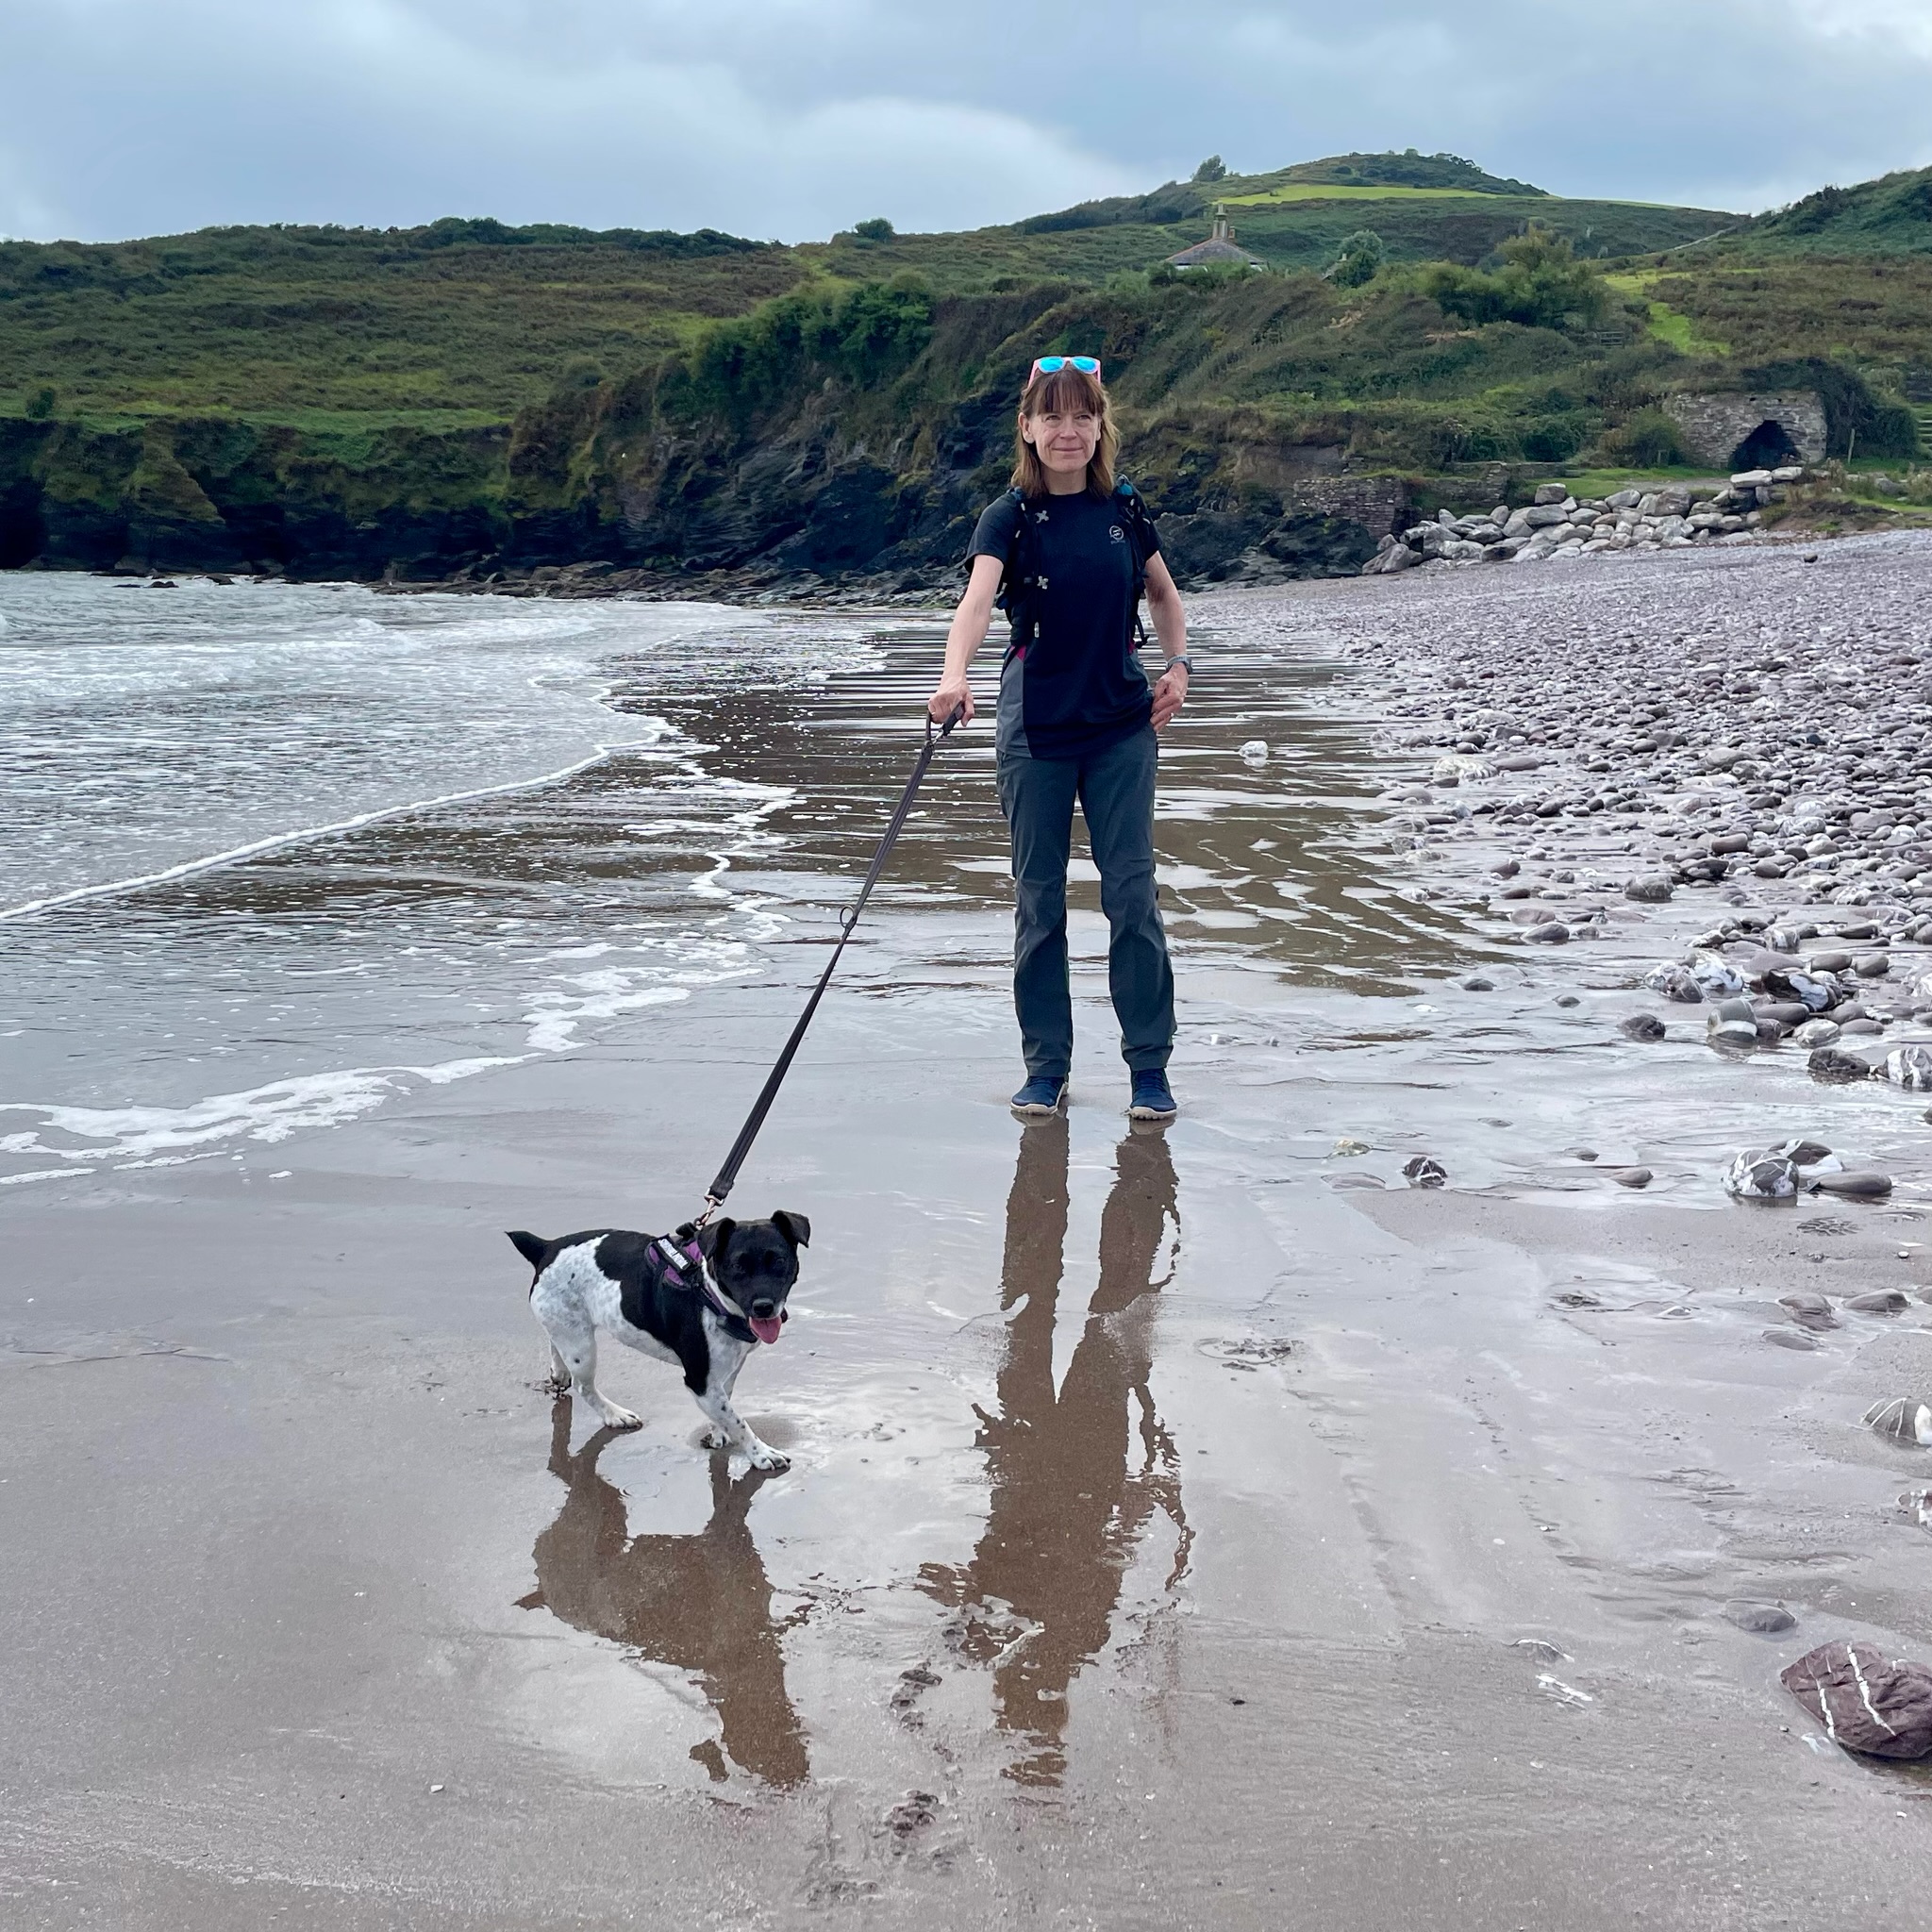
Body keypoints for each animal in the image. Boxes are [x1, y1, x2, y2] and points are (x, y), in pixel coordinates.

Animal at [506, 1213, 808, 1468]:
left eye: (779, 1261)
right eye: (737, 1265)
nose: (764, 1307)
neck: (710, 1293)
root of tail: (546, 1248)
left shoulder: (726, 1372)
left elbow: (726, 1407)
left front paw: (718, 1433)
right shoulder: (700, 1381)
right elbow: (738, 1421)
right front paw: (761, 1454)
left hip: (565, 1328)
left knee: (554, 1342)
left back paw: (559, 1373)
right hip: (582, 1349)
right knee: (585, 1387)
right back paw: (615, 1414)